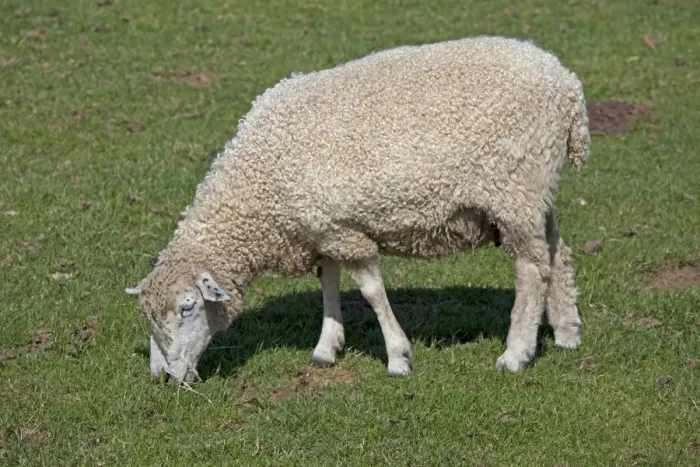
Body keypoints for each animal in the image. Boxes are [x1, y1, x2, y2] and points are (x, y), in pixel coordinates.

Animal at [126, 35, 589, 383]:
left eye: (187, 308)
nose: (164, 377)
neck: (260, 187)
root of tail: (567, 84)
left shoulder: (345, 230)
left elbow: (371, 291)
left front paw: (398, 357)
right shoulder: (322, 228)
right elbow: (328, 282)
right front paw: (326, 348)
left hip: (514, 189)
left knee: (531, 269)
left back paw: (516, 354)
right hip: (536, 191)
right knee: (557, 251)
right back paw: (566, 332)